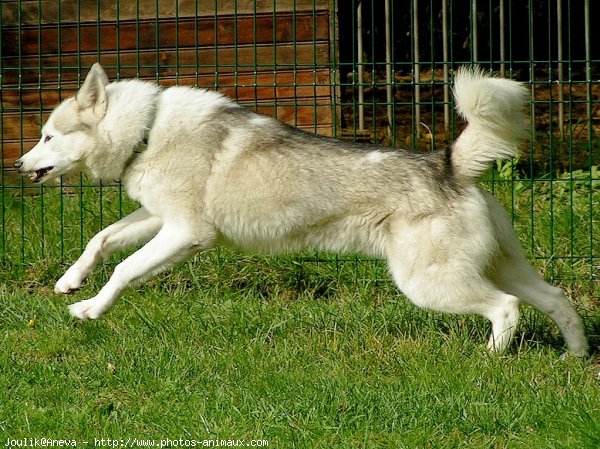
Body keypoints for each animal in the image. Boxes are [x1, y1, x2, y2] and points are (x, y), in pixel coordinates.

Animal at [16, 63, 588, 356]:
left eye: (47, 136)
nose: (19, 165)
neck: (148, 130)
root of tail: (447, 163)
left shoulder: (185, 234)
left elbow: (125, 270)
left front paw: (89, 310)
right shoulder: (161, 219)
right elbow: (101, 240)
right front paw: (70, 282)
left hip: (431, 285)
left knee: (505, 309)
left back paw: (491, 361)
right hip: (501, 266)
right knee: (556, 299)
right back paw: (576, 356)